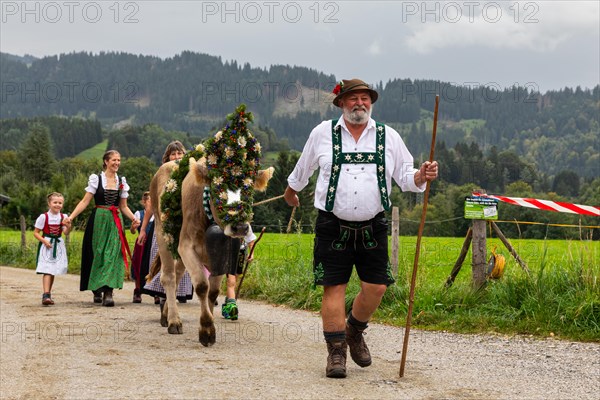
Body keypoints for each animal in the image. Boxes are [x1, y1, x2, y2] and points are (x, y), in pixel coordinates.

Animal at [149, 104, 274, 346]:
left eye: (249, 191)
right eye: (218, 190)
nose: (240, 228)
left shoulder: (223, 254)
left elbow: (214, 292)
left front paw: (210, 323)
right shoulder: (187, 245)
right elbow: (201, 286)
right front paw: (206, 329)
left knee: (178, 274)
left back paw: (167, 313)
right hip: (163, 234)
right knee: (168, 277)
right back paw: (173, 321)